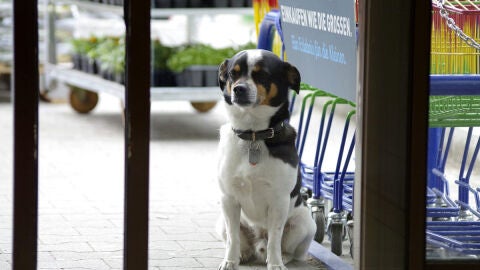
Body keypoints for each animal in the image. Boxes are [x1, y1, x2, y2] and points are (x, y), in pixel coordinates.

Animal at [216, 49, 316, 270]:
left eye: (262, 75)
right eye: (233, 74)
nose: (239, 89)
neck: (254, 135)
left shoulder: (279, 201)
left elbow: (275, 239)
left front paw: (276, 264)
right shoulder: (228, 199)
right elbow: (233, 239)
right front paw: (230, 261)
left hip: (305, 223)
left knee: (286, 248)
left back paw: (283, 257)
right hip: (222, 223)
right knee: (237, 239)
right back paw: (243, 254)